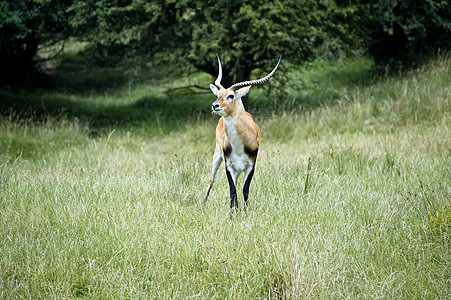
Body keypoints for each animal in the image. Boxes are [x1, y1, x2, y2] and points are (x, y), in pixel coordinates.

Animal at [205, 55, 282, 212]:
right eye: (218, 94)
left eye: (230, 95)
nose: (215, 105)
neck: (240, 145)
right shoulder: (229, 166)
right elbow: (232, 190)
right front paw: (232, 213)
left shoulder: (251, 166)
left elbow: (245, 189)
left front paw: (244, 212)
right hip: (217, 156)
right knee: (211, 180)